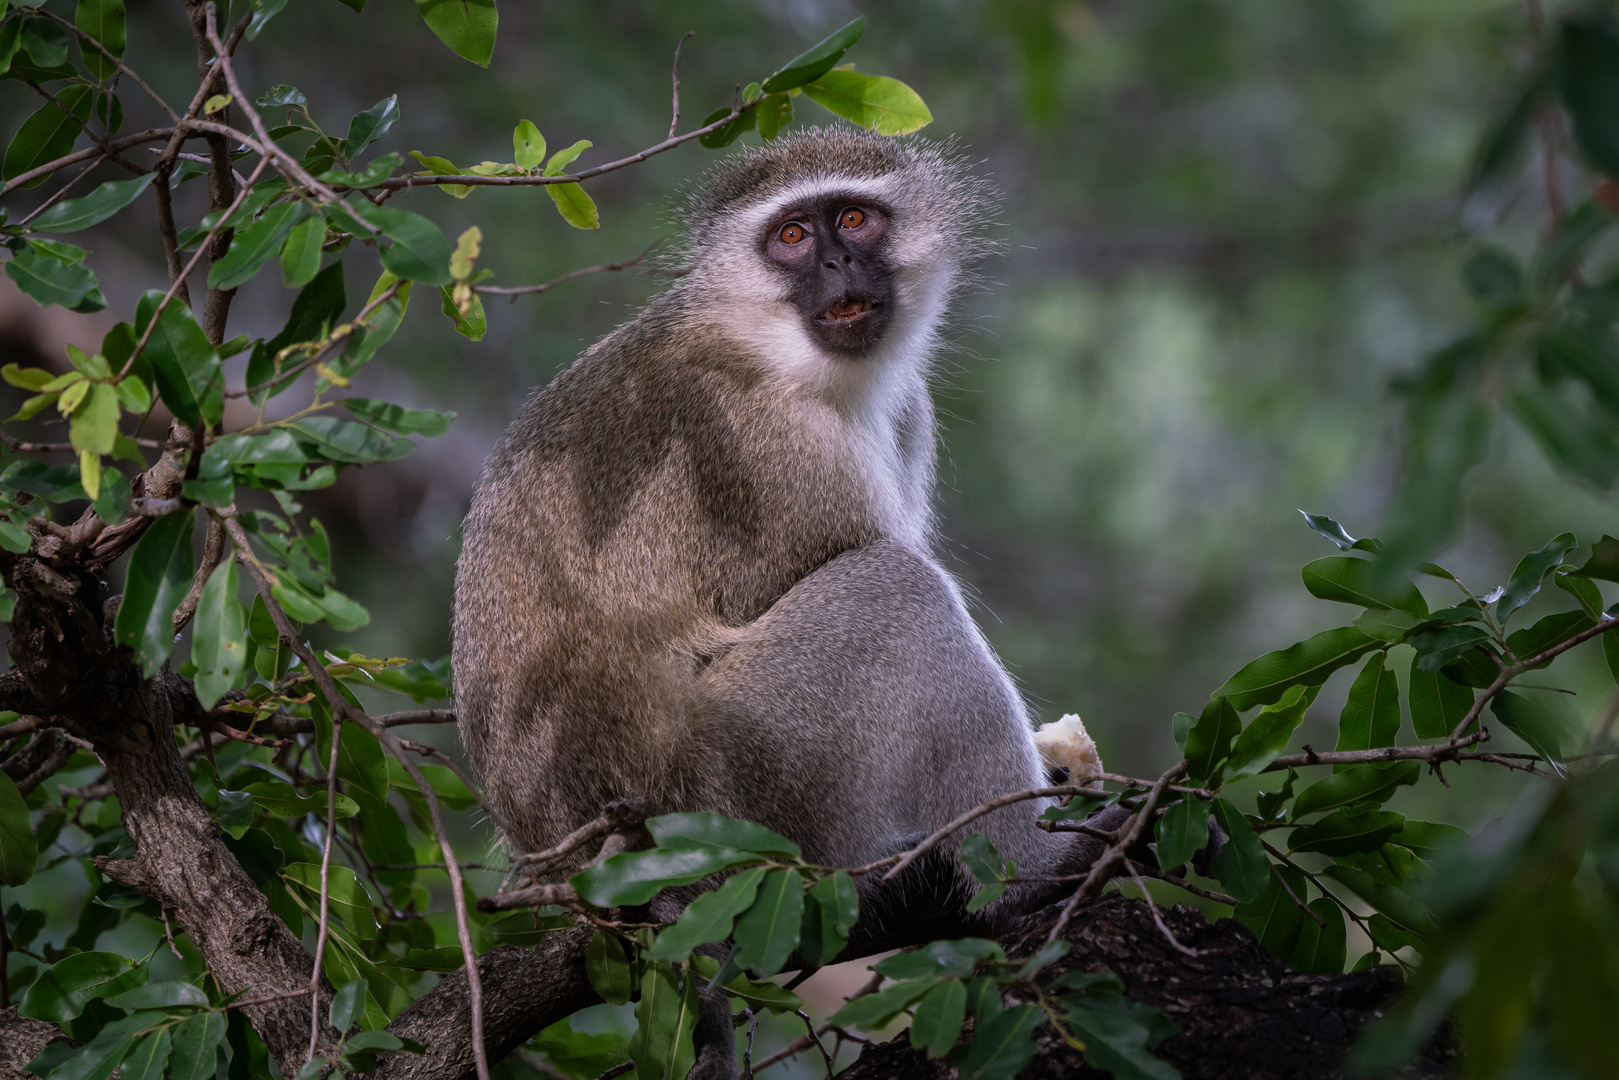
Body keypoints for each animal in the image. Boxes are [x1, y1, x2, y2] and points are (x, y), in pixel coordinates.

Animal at [456, 127, 1113, 1062]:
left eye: (853, 220)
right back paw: (1030, 870)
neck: (768, 344)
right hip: (741, 787)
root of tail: (579, 865)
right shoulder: (774, 449)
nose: (837, 263)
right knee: (896, 587)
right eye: (793, 238)